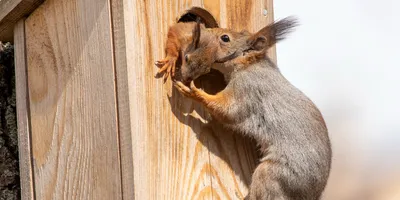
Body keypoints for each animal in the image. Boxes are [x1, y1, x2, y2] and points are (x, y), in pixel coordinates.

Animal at [173, 17, 332, 200]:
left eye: (225, 38)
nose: (203, 30)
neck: (249, 64)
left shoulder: (247, 89)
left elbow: (228, 110)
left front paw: (194, 92)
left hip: (271, 174)